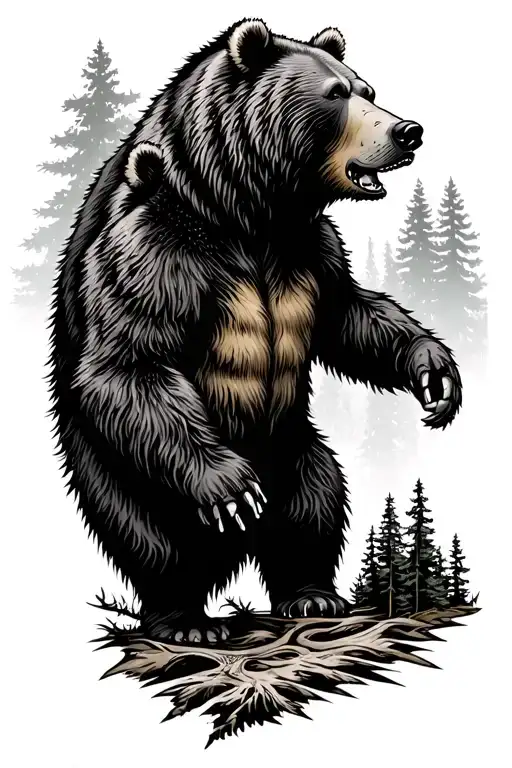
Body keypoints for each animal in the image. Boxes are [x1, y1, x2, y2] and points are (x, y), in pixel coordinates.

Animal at [48, 19, 462, 644]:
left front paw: (434, 371)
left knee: (315, 501)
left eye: (368, 89)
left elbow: (348, 315)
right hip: (122, 473)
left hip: (292, 446)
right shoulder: (153, 250)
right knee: (156, 540)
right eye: (336, 95)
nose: (407, 131)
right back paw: (185, 618)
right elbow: (131, 359)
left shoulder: (310, 250)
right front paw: (229, 487)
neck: (247, 212)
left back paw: (312, 594)